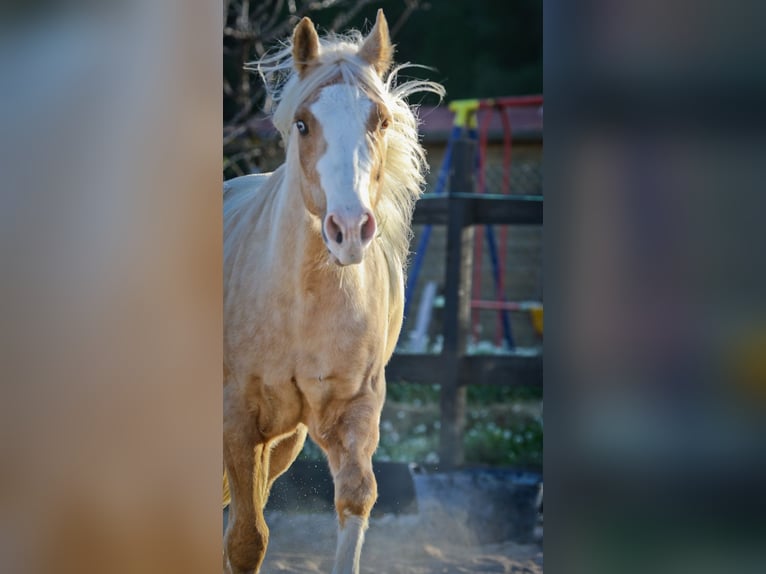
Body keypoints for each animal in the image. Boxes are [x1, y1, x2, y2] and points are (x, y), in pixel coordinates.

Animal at [222, 10, 444, 574]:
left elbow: (355, 501)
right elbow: (246, 540)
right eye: (302, 123)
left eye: (380, 121)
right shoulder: (237, 419)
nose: (348, 229)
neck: (299, 305)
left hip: (286, 440)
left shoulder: (352, 413)